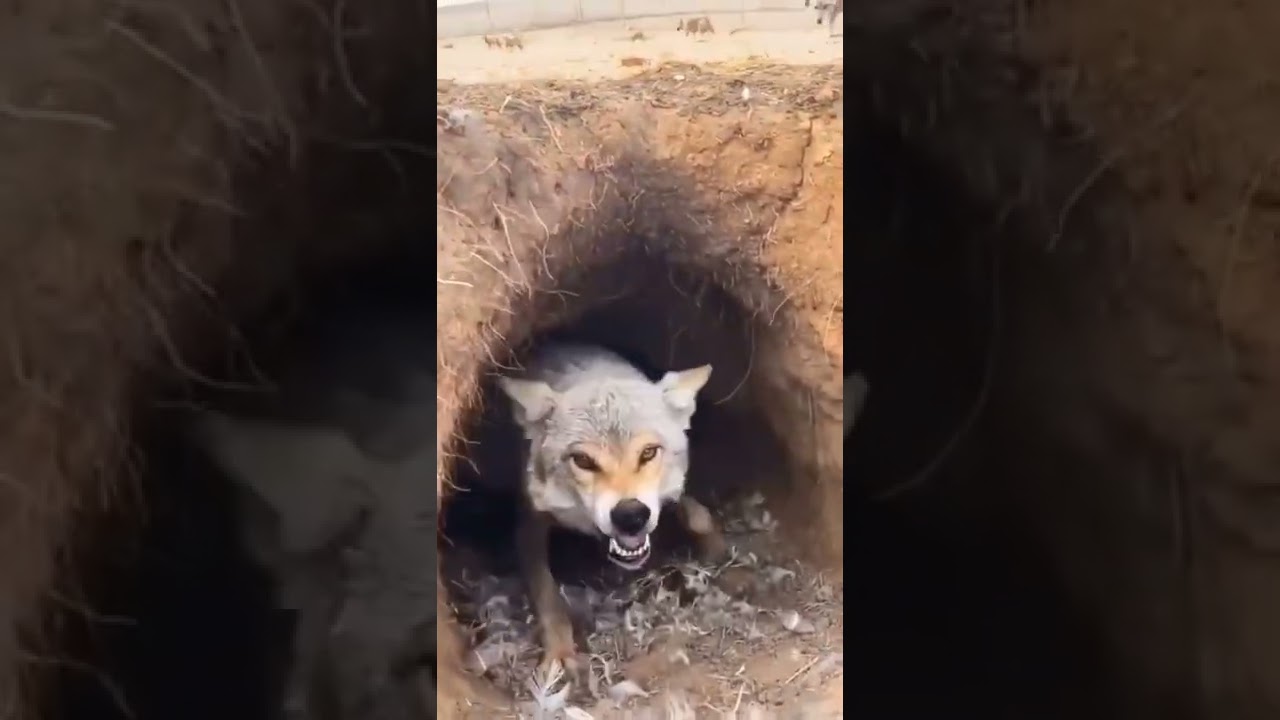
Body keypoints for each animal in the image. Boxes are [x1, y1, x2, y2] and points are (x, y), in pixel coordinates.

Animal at [496, 343, 721, 675]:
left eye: (648, 453)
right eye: (583, 461)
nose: (630, 515)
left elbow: (697, 516)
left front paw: (715, 550)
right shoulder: (529, 525)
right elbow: (549, 597)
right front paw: (560, 652)